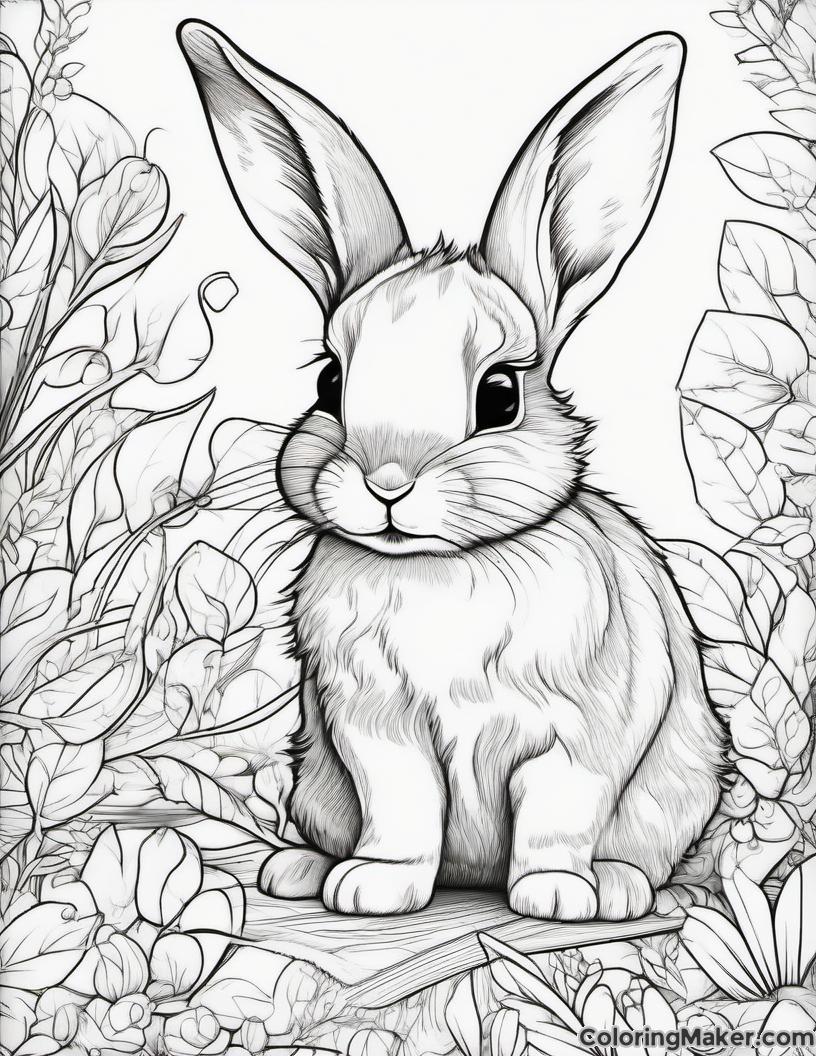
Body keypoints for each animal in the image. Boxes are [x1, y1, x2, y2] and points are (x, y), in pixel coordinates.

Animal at [180, 21, 724, 921]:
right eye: (329, 384)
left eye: (500, 395)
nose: (387, 481)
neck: (442, 570)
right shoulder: (374, 728)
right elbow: (400, 807)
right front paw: (373, 887)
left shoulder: (579, 736)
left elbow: (557, 815)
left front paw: (554, 896)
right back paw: (299, 870)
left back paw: (614, 888)